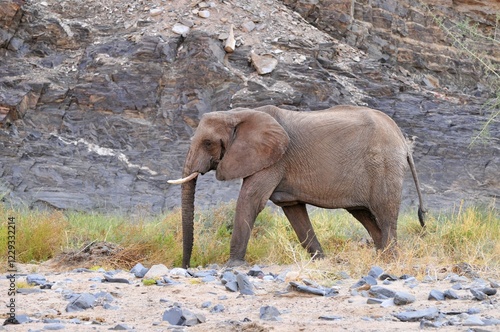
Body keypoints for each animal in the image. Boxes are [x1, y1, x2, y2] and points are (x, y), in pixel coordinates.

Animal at [169, 105, 426, 268]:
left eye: (208, 143)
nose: (186, 266)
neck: (237, 114)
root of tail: (402, 139)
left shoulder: (274, 160)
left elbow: (251, 200)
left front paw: (232, 266)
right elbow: (294, 211)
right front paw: (321, 261)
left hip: (383, 165)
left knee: (384, 213)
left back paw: (390, 260)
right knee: (364, 214)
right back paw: (382, 257)